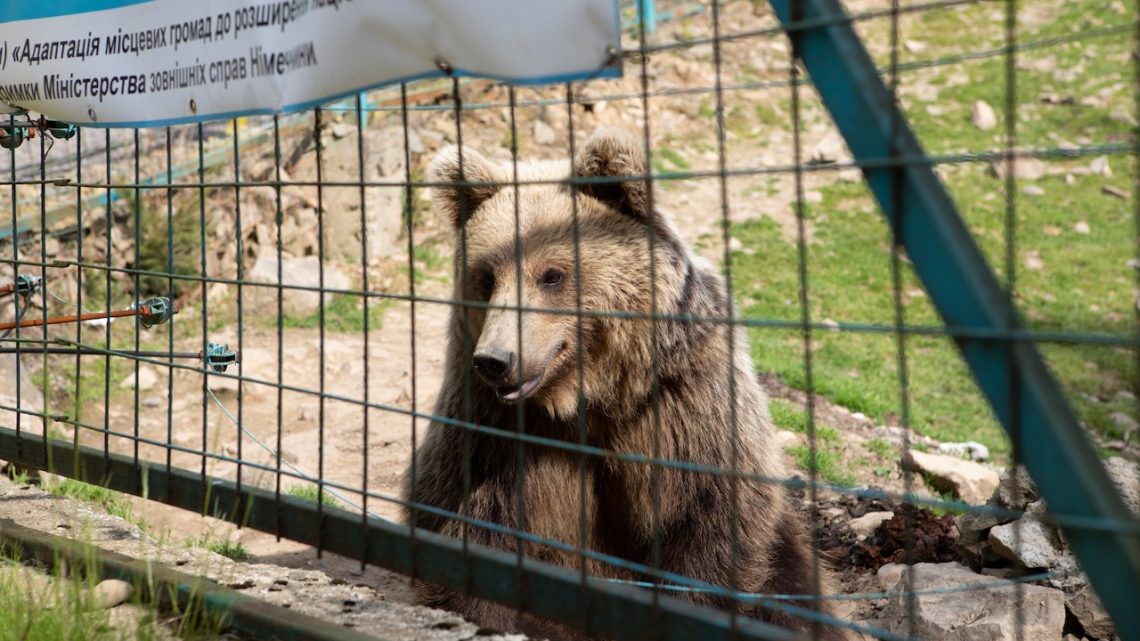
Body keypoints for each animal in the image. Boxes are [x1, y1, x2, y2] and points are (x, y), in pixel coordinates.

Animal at [405, 127, 843, 634]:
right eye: (486, 277)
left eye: (552, 275)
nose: (496, 360)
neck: (588, 393)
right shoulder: (491, 424)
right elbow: (474, 518)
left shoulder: (682, 404)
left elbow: (705, 519)